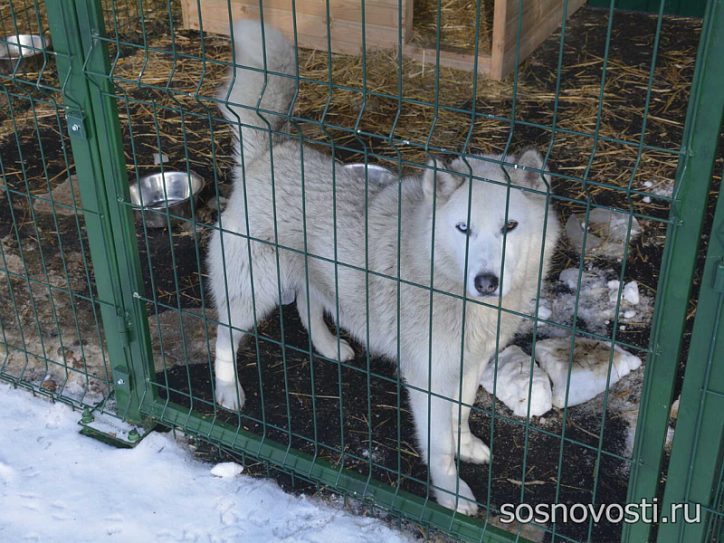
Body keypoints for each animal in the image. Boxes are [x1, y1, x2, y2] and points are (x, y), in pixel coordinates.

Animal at [209, 20, 560, 516]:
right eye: (464, 228)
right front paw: (452, 493)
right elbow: (437, 447)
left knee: (306, 306)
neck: (444, 278)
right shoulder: (428, 377)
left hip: (318, 273)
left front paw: (466, 445)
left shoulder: (468, 365)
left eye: (509, 226)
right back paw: (227, 392)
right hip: (253, 292)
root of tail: (270, 152)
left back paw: (329, 348)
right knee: (223, 333)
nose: (486, 282)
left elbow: (461, 413)